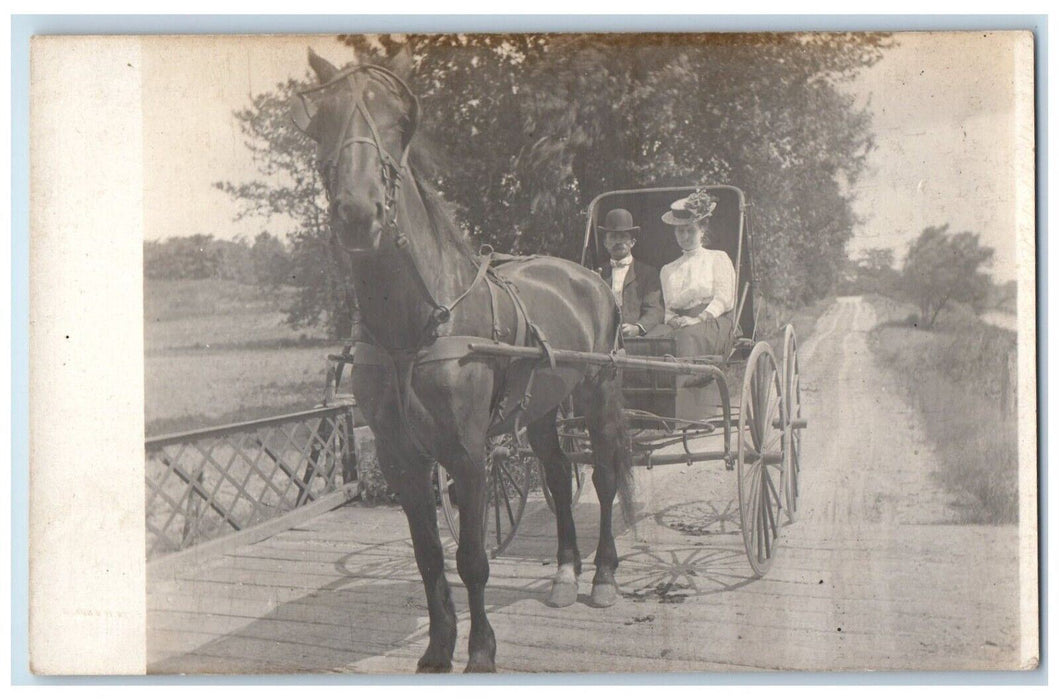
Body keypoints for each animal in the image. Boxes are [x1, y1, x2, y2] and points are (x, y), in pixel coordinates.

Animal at [290, 49, 631, 673]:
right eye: (322, 119)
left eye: (400, 122)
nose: (358, 212)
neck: (414, 329)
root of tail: (589, 277)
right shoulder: (401, 457)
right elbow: (428, 556)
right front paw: (437, 649)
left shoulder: (468, 454)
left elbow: (471, 557)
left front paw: (480, 652)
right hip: (541, 406)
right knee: (557, 476)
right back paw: (565, 575)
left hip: (599, 390)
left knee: (605, 474)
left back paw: (602, 576)